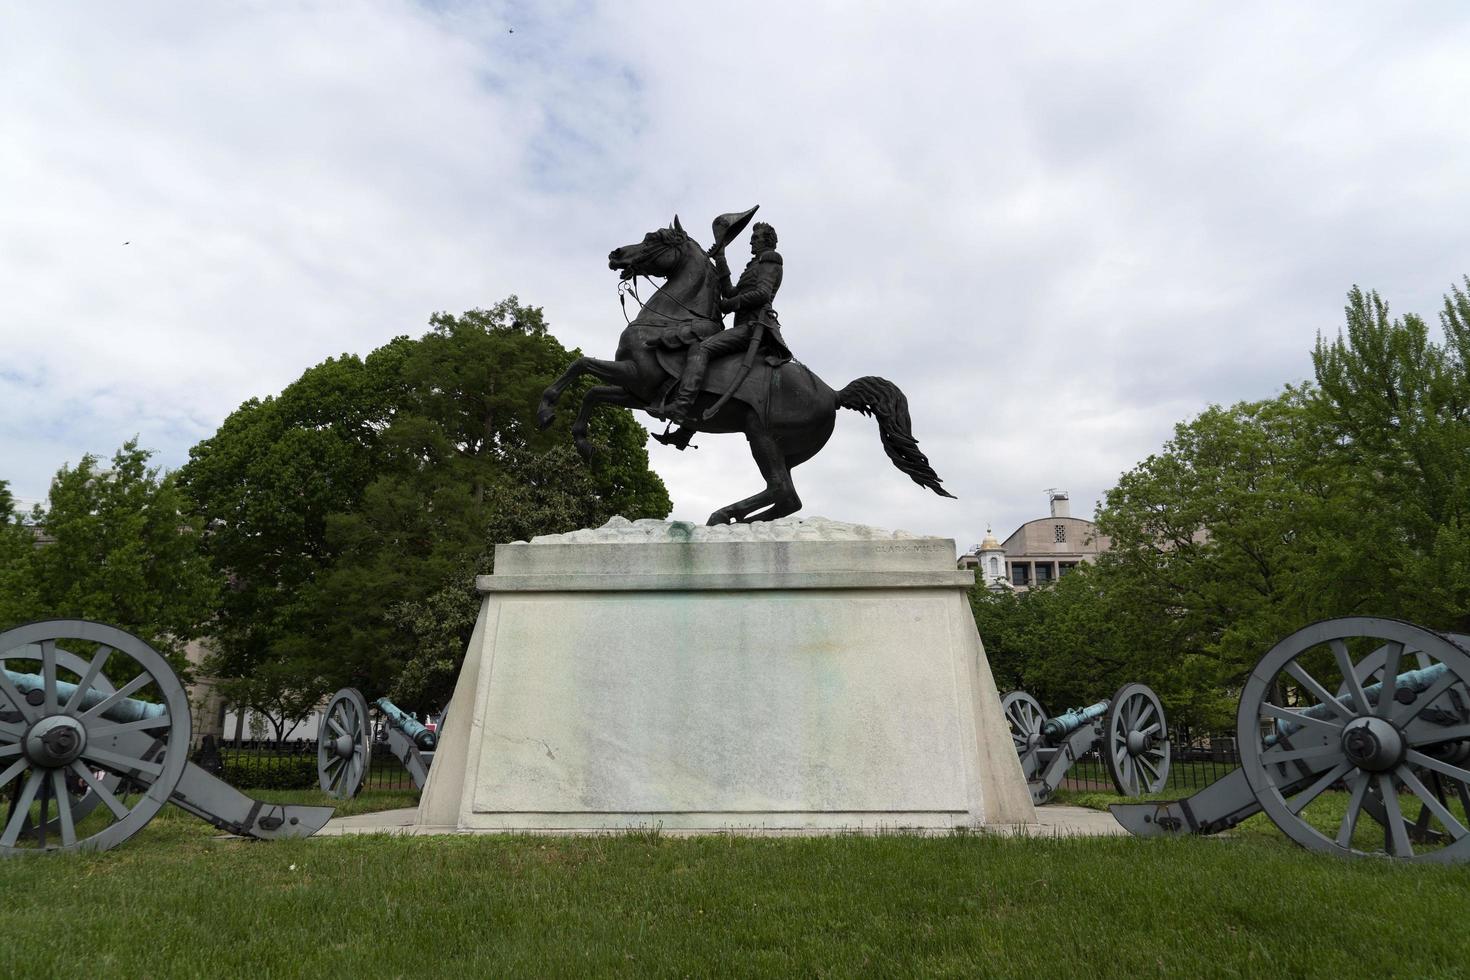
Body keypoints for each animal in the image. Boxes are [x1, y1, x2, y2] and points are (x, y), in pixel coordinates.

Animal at [535, 213, 958, 520]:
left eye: (654, 237)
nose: (616, 254)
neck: (668, 320)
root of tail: (834, 394)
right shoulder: (636, 393)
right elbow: (591, 389)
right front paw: (582, 442)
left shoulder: (637, 379)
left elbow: (580, 366)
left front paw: (546, 411)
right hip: (783, 448)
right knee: (788, 498)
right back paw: (743, 522)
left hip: (761, 434)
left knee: (782, 491)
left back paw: (725, 516)